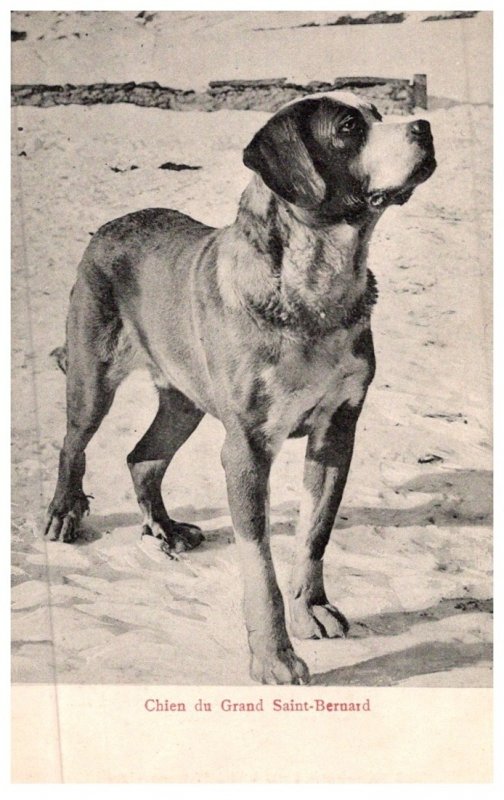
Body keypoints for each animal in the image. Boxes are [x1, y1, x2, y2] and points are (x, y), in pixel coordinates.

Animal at [45, 92, 436, 685]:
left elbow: (315, 532)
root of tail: (112, 226)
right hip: (94, 376)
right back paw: (64, 513)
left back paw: (165, 530)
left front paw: (311, 608)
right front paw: (275, 657)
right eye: (349, 127)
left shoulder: (337, 431)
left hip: (183, 401)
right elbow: (260, 565)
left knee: (144, 458)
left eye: (376, 111)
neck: (313, 286)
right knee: (74, 442)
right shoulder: (247, 450)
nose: (425, 127)